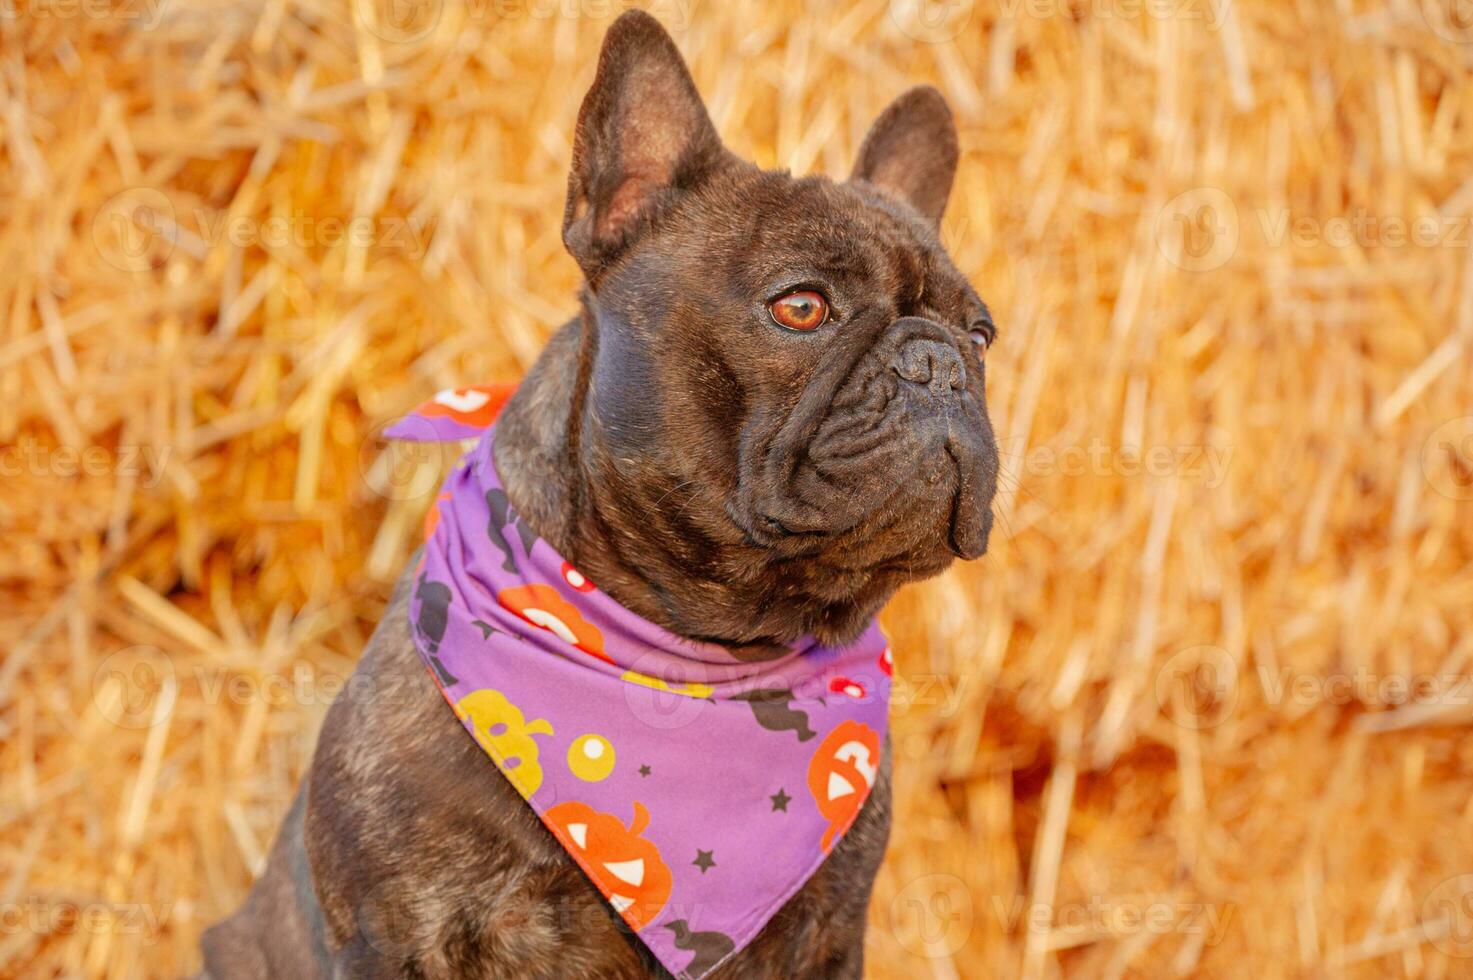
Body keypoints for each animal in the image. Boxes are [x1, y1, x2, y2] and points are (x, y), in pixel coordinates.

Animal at [201, 9, 995, 978]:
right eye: (801, 307)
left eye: (981, 336)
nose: (939, 363)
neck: (692, 661)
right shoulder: (401, 935)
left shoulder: (825, 937)